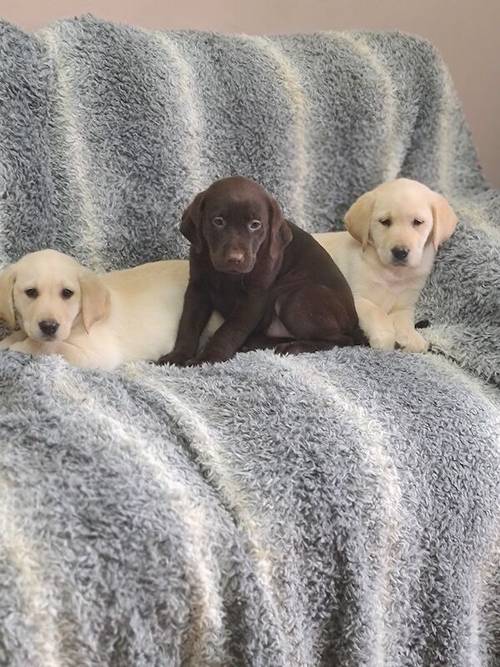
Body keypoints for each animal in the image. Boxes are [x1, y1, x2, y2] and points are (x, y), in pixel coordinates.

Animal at [158, 175, 366, 368]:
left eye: (255, 224)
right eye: (218, 221)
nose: (235, 259)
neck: (228, 277)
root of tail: (355, 321)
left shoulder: (254, 296)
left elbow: (228, 330)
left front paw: (208, 358)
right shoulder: (198, 289)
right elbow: (188, 325)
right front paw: (178, 355)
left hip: (295, 298)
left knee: (341, 339)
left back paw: (293, 346)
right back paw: (255, 342)